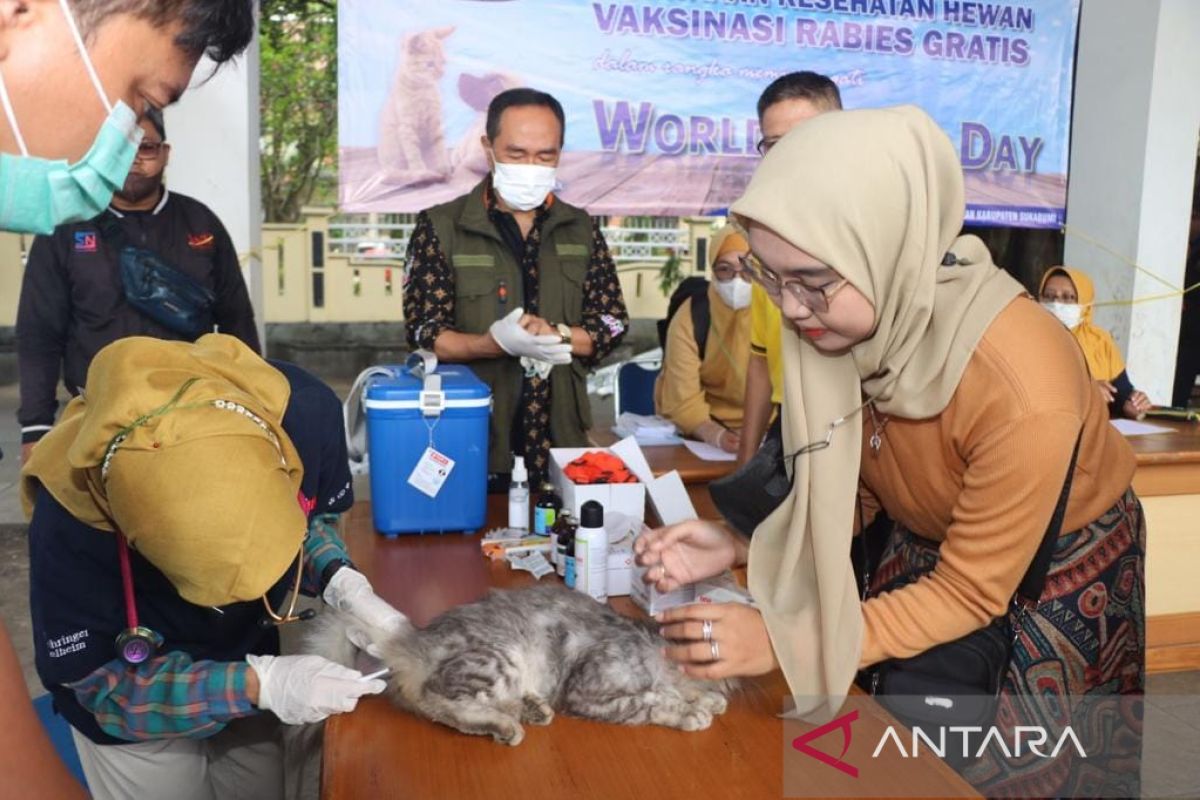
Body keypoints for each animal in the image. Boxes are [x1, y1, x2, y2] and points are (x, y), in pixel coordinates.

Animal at [304, 582, 734, 743]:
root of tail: (416, 642)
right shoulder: (587, 692)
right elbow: (648, 702)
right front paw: (690, 712)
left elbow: (669, 694)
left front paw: (706, 702)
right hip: (498, 657)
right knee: (438, 702)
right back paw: (506, 726)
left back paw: (531, 709)